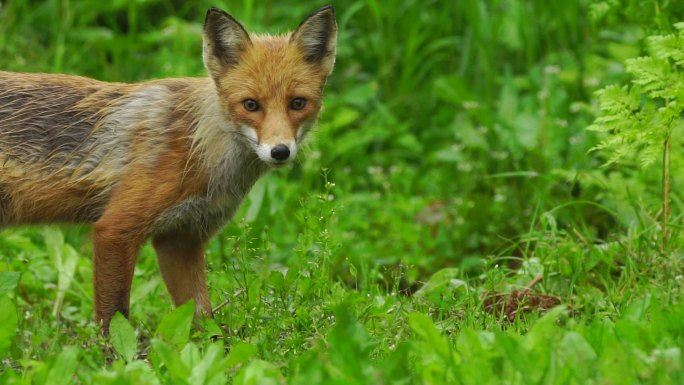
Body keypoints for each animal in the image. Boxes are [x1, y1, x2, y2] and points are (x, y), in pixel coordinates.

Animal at [0, 5, 336, 332]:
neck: (197, 146)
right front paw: (110, 352)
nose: (280, 151)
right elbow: (113, 319)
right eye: (250, 105)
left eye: (298, 103)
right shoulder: (115, 229)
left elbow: (201, 319)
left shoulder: (180, 239)